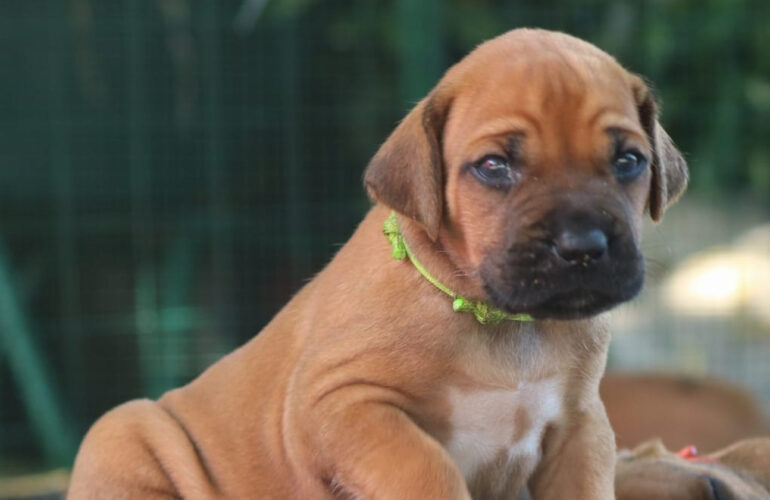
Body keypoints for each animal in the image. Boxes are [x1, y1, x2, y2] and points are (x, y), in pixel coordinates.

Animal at [69, 28, 688, 500]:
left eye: (629, 161)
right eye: (494, 167)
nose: (583, 245)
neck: (498, 321)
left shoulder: (578, 428)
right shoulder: (341, 404)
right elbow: (426, 467)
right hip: (124, 430)